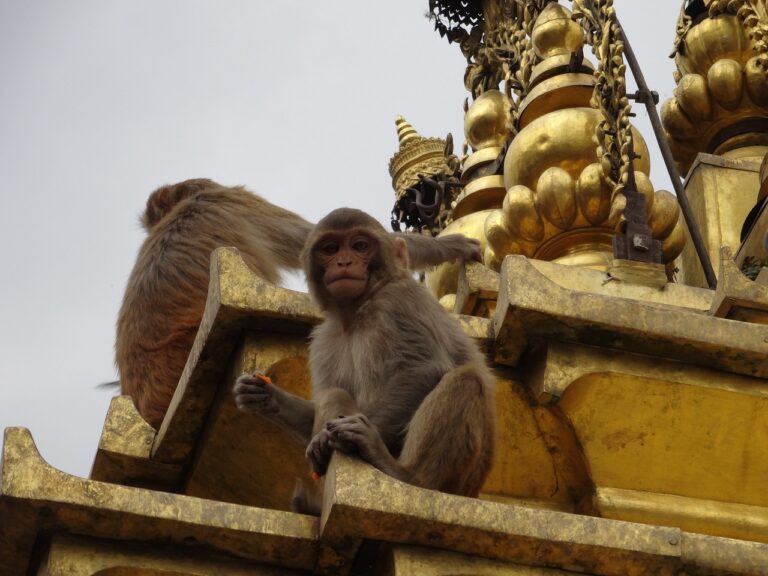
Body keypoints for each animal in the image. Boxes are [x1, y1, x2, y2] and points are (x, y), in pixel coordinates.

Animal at [234, 207, 495, 504]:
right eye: (330, 248)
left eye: (360, 246)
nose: (344, 262)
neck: (357, 313)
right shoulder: (324, 341)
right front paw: (265, 396)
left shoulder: (399, 301)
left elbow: (422, 370)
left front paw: (342, 440)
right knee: (334, 394)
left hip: (463, 482)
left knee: (466, 379)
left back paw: (403, 474)